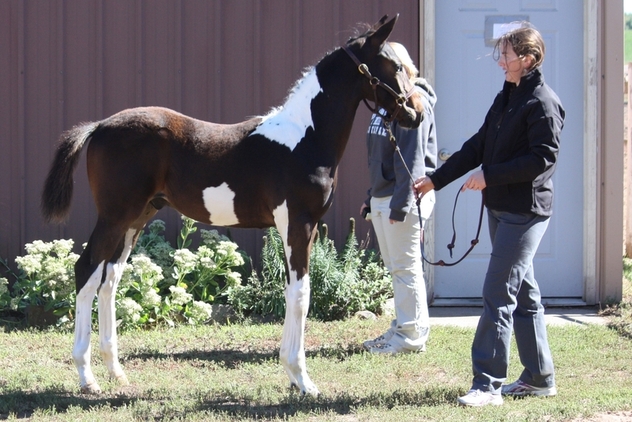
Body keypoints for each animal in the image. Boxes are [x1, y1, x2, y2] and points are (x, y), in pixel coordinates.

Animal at [42, 14, 422, 396]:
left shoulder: (301, 227)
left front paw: (292, 375)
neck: (305, 137)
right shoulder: (298, 224)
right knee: (87, 271)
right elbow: (301, 295)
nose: (415, 113)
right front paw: (302, 379)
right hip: (114, 216)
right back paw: (87, 378)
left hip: (136, 218)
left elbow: (292, 292)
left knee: (110, 280)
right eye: (394, 66)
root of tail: (99, 127)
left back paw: (115, 371)